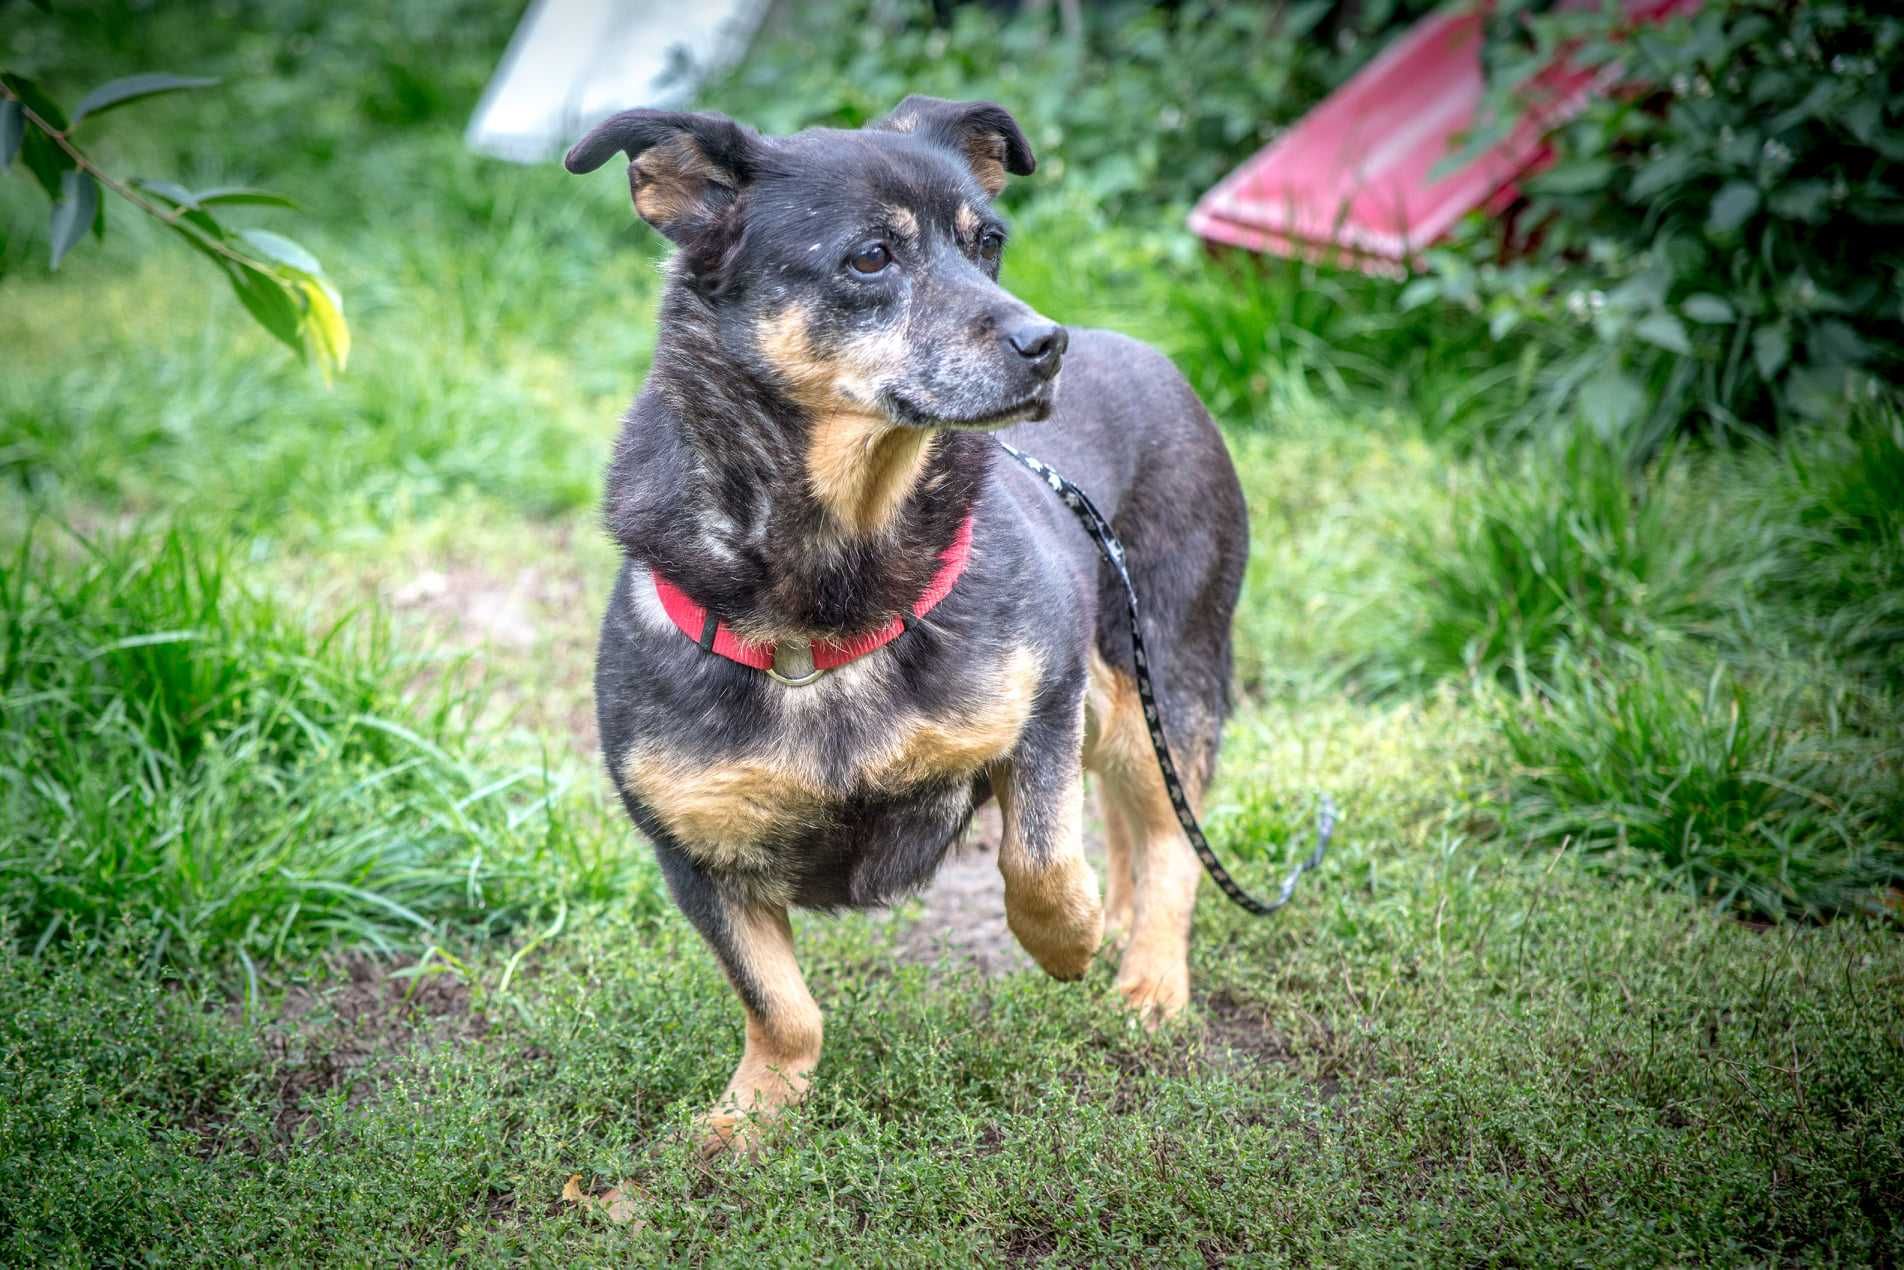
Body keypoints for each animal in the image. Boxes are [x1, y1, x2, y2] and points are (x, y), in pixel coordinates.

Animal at [563, 94, 1249, 1157]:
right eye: (871, 258)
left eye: (989, 243)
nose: (1048, 343)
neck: (834, 579)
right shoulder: (692, 851)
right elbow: (779, 1004)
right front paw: (752, 1116)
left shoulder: (1046, 699)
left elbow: (1040, 860)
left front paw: (1072, 940)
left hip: (1159, 682)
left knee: (1170, 841)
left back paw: (1147, 975)